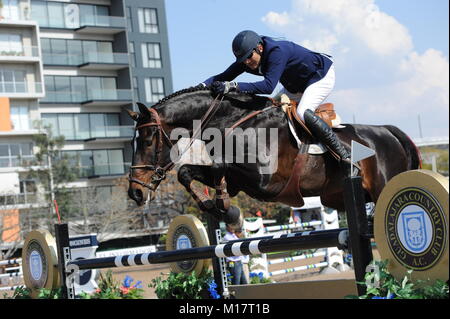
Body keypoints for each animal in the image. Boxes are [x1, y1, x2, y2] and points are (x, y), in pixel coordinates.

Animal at [126, 85, 422, 225]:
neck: (232, 120)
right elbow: (187, 172)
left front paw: (228, 210)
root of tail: (389, 131)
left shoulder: (264, 181)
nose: (135, 193)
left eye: (148, 140)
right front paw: (217, 207)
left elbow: (220, 166)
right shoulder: (240, 181)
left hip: (384, 186)